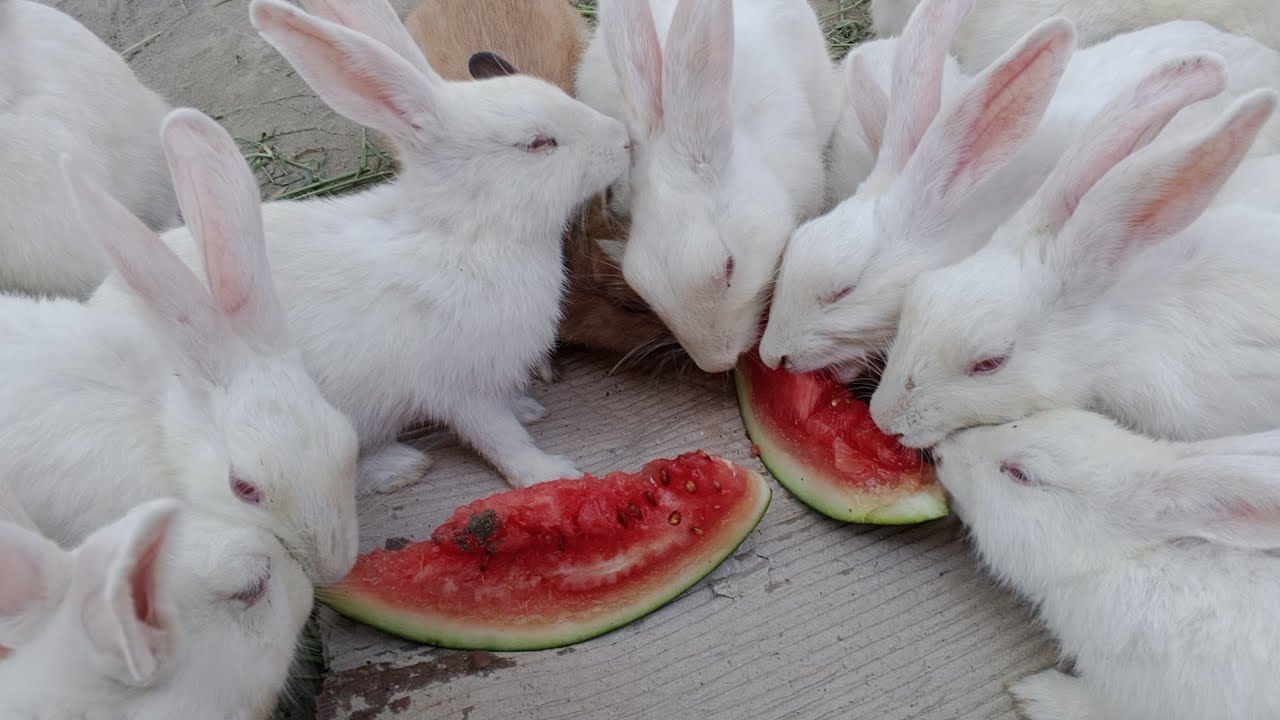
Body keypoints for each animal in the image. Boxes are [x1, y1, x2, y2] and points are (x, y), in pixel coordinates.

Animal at [94, 0, 631, 493]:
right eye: (537, 143)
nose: (623, 140)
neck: (465, 232)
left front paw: (529, 408)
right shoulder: (459, 388)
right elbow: (500, 438)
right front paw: (551, 473)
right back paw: (398, 467)